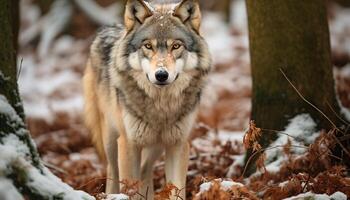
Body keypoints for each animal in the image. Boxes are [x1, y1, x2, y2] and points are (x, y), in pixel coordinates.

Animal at [83, 0, 212, 198]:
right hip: (111, 140)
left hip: (155, 147)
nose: (161, 75)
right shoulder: (128, 144)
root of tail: (108, 28)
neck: (161, 106)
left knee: (145, 170)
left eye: (176, 46)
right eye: (148, 46)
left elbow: (176, 189)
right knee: (112, 171)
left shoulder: (178, 145)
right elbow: (129, 190)